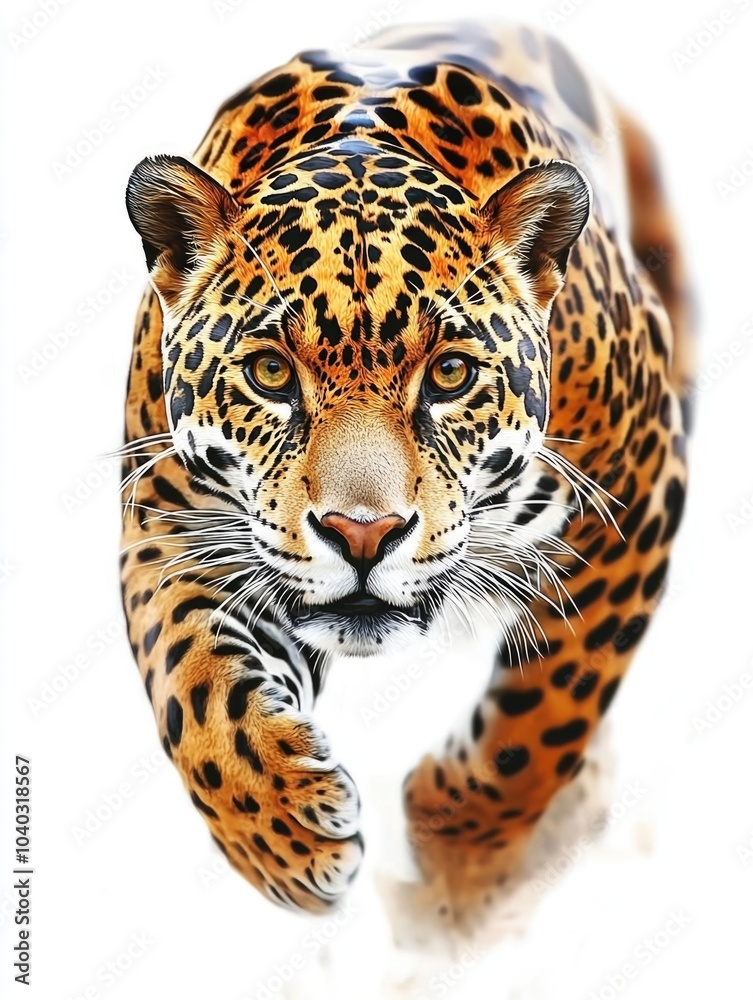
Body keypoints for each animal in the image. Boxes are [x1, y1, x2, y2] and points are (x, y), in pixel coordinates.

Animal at [120, 21, 691, 919]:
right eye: (271, 374)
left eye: (450, 375)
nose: (364, 535)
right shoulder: (172, 522)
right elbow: (192, 680)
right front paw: (285, 833)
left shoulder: (637, 486)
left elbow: (551, 703)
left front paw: (458, 852)